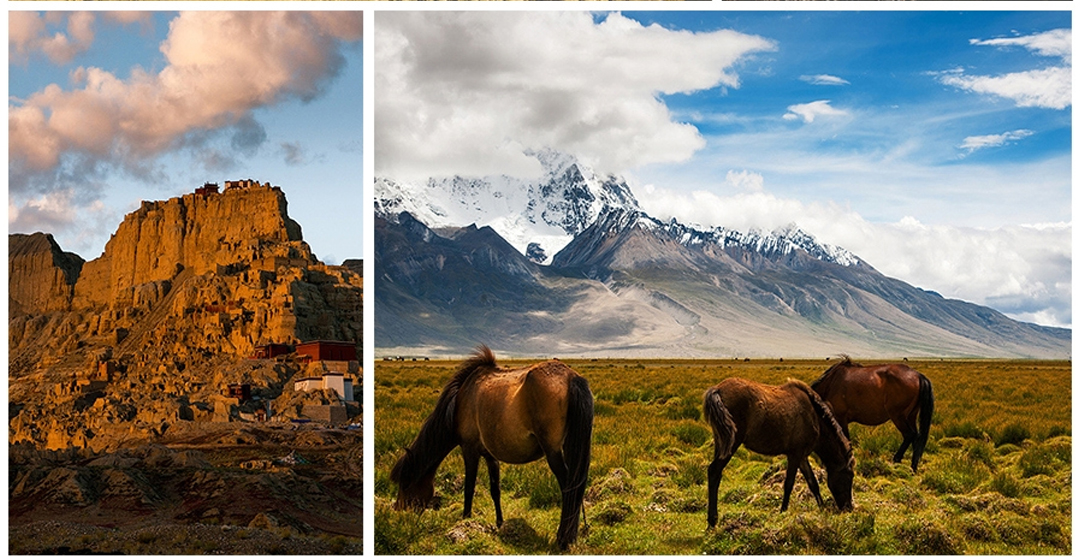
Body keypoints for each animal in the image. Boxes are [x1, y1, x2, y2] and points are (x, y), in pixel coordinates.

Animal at [388, 345, 591, 550]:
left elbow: (469, 487)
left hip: (553, 451)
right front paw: (500, 523)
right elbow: (495, 490)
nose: (399, 513)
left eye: (405, 484)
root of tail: (571, 377)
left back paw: (563, 538)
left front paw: (465, 519)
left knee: (569, 487)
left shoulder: (469, 450)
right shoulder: (490, 456)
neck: (460, 400)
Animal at [704, 375, 855, 524]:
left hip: (722, 443)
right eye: (849, 476)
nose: (848, 508)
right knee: (714, 471)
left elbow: (813, 483)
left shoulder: (802, 457)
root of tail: (718, 389)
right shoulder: (794, 455)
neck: (814, 416)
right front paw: (783, 511)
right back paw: (712, 521)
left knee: (715, 474)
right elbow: (789, 484)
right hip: (732, 443)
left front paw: (822, 508)